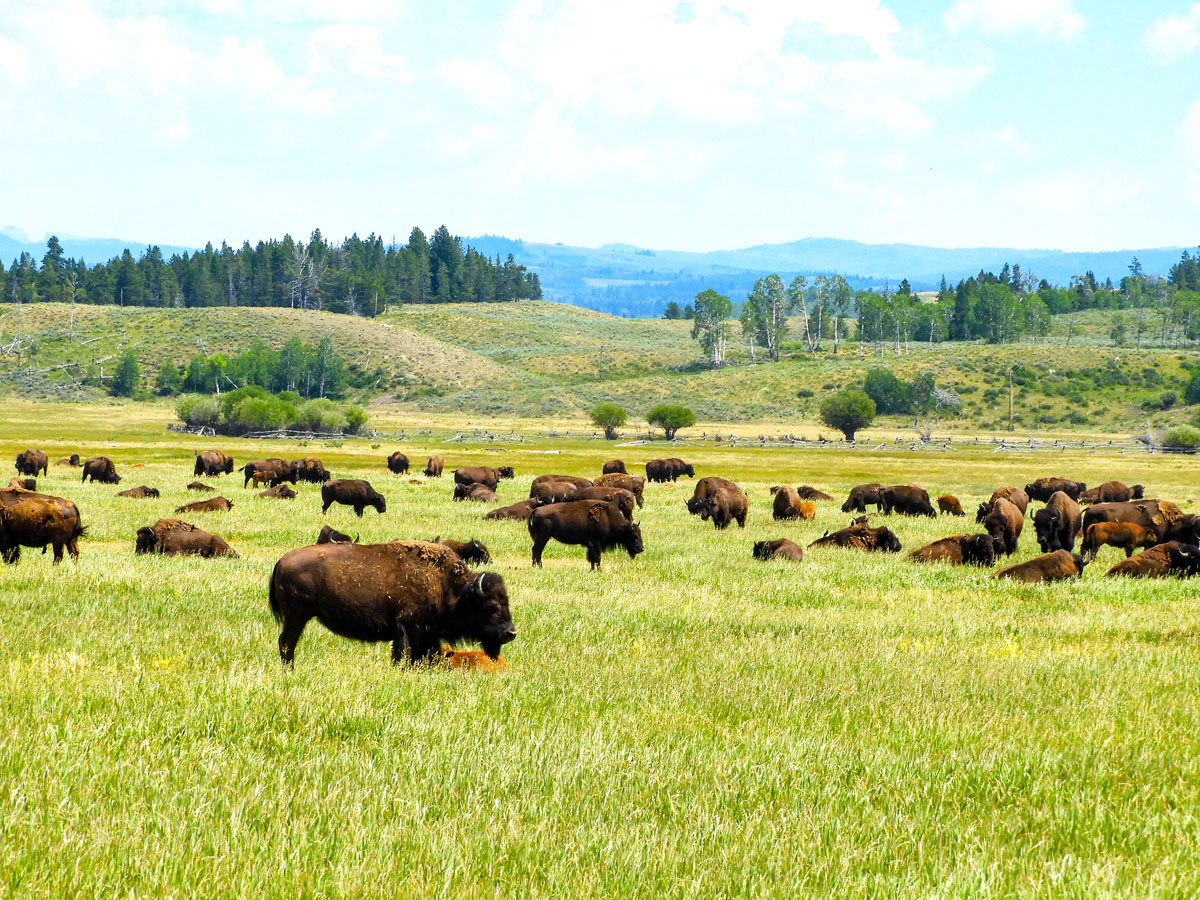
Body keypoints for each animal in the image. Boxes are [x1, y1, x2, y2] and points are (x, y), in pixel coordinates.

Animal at [268, 540, 516, 667]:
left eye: (506, 602)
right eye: (491, 606)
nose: (511, 633)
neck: (449, 587)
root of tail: (281, 560)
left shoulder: (428, 634)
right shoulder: (408, 629)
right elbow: (403, 654)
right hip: (297, 617)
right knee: (286, 643)